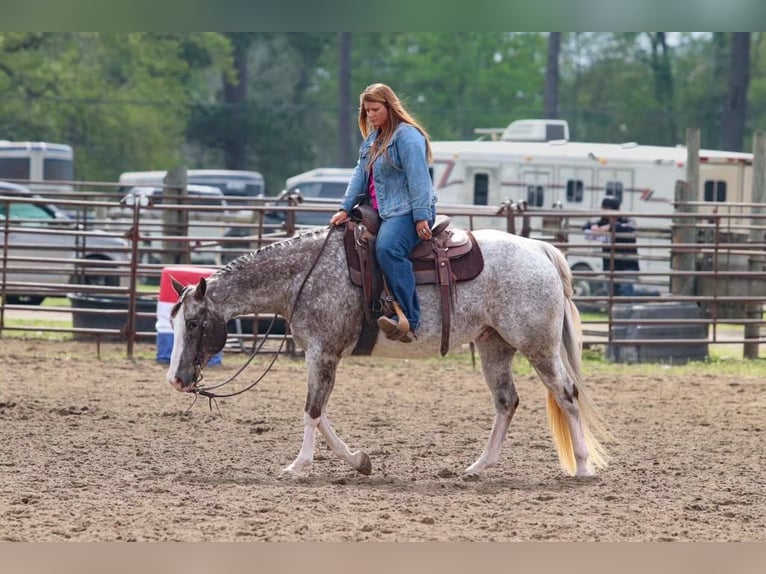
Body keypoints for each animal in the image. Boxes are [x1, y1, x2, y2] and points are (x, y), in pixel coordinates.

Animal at [168, 227, 612, 480]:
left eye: (193, 322)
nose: (176, 379)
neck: (304, 275)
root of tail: (540, 250)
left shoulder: (322, 352)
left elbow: (312, 410)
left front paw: (298, 466)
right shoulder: (322, 354)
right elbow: (322, 413)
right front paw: (359, 461)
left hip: (538, 346)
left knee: (567, 394)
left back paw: (583, 467)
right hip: (493, 345)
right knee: (507, 402)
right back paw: (478, 467)